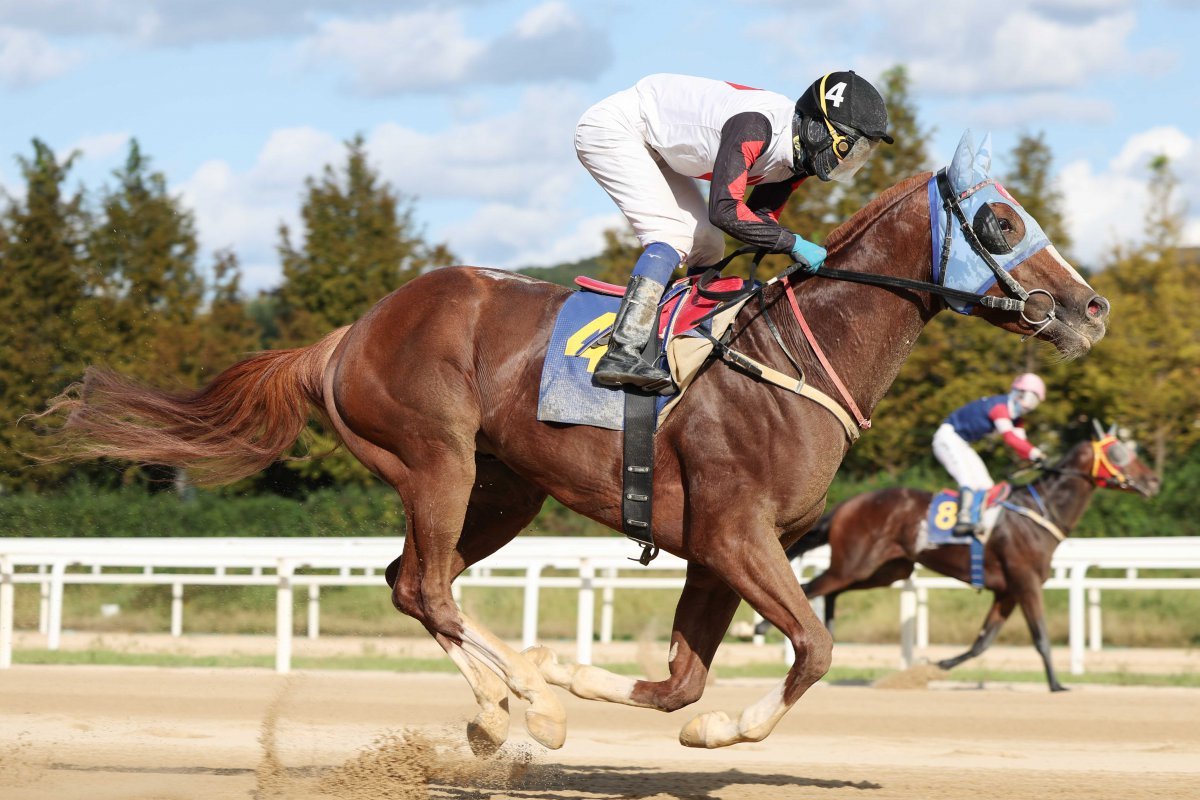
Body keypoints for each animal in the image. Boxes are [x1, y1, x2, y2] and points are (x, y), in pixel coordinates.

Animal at [39, 143, 1104, 753]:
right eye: (1000, 219)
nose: (1089, 307)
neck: (792, 354)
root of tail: (345, 336)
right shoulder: (738, 532)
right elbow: (811, 647)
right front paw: (710, 720)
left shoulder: (716, 549)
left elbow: (681, 684)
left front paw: (617, 691)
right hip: (436, 459)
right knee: (427, 585)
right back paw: (527, 701)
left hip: (505, 489)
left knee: (409, 583)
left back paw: (498, 707)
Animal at [753, 429, 1156, 690]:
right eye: (1119, 454)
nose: (1153, 481)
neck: (1039, 513)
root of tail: (847, 505)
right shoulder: (1025, 582)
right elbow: (1041, 636)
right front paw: (1058, 685)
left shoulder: (1007, 591)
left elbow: (982, 643)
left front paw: (937, 665)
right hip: (856, 564)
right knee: (812, 586)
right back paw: (762, 628)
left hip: (884, 570)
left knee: (828, 590)